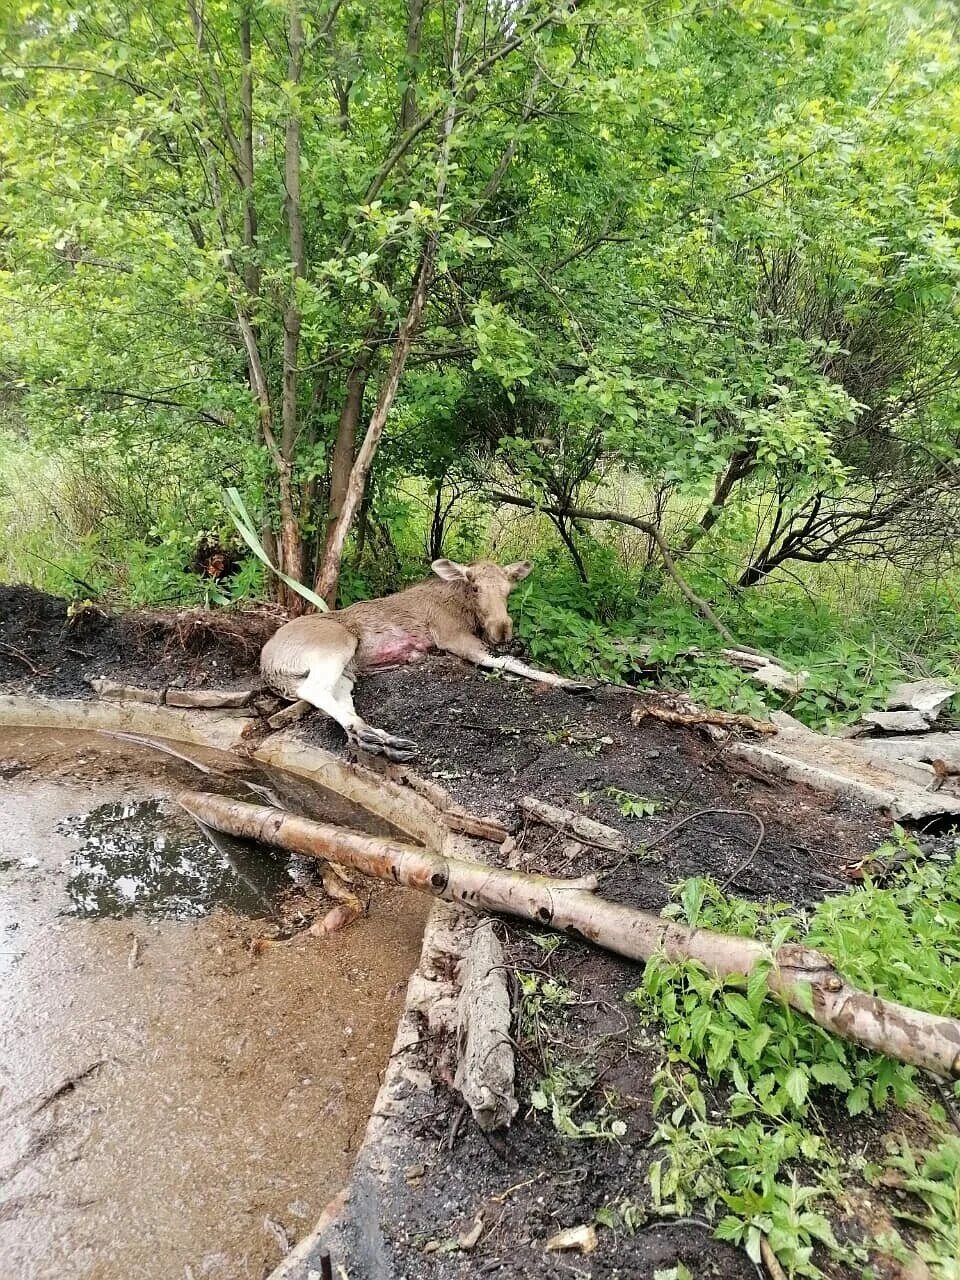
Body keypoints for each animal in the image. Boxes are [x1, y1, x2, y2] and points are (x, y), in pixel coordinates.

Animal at [264, 560, 593, 757]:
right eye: (475, 586)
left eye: (509, 590)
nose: (502, 629)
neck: (464, 609)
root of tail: (268, 665)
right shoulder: (453, 637)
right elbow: (505, 662)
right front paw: (569, 682)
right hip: (336, 645)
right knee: (315, 691)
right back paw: (378, 738)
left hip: (347, 672)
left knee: (339, 704)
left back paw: (382, 740)